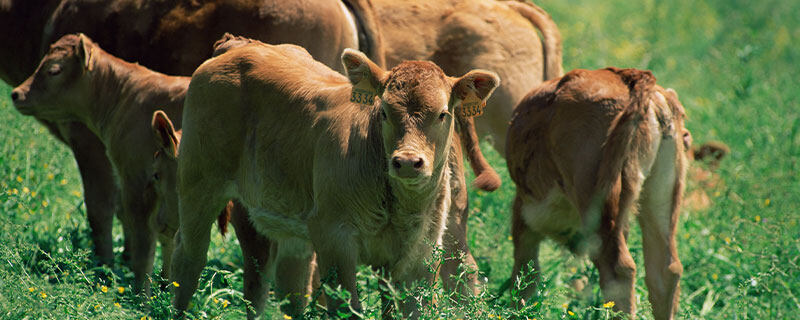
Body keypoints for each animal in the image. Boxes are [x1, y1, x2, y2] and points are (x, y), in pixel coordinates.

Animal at [170, 40, 500, 318]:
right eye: (384, 111)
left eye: (443, 113)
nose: (407, 162)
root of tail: (239, 46)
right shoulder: (334, 238)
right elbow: (347, 308)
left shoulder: (420, 255)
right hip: (198, 186)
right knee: (190, 260)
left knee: (286, 284)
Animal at [506, 66, 688, 318]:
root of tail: (627, 75)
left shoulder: (524, 217)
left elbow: (525, 279)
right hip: (662, 196)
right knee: (665, 271)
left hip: (598, 207)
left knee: (619, 269)